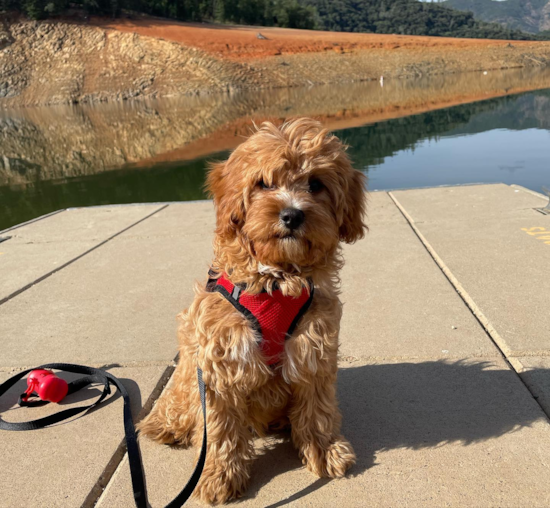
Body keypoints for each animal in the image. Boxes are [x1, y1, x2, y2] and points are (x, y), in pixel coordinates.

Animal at [139, 118, 370, 504]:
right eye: (264, 183)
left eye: (316, 184)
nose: (292, 214)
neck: (276, 279)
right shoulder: (221, 358)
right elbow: (220, 428)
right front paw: (219, 474)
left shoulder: (313, 347)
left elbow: (317, 407)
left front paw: (323, 449)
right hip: (189, 368)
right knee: (181, 398)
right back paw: (166, 424)